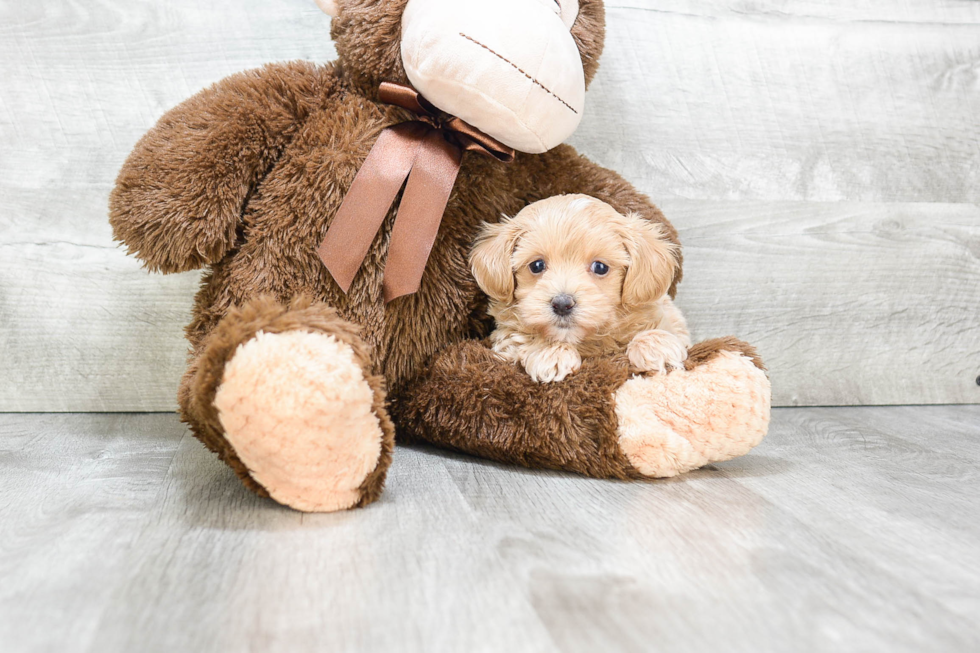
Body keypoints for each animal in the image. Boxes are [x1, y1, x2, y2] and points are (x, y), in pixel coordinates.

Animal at [468, 194, 688, 382]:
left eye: (600, 267)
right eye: (537, 265)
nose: (562, 304)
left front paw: (655, 346)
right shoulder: (505, 339)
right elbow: (521, 337)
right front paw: (552, 353)